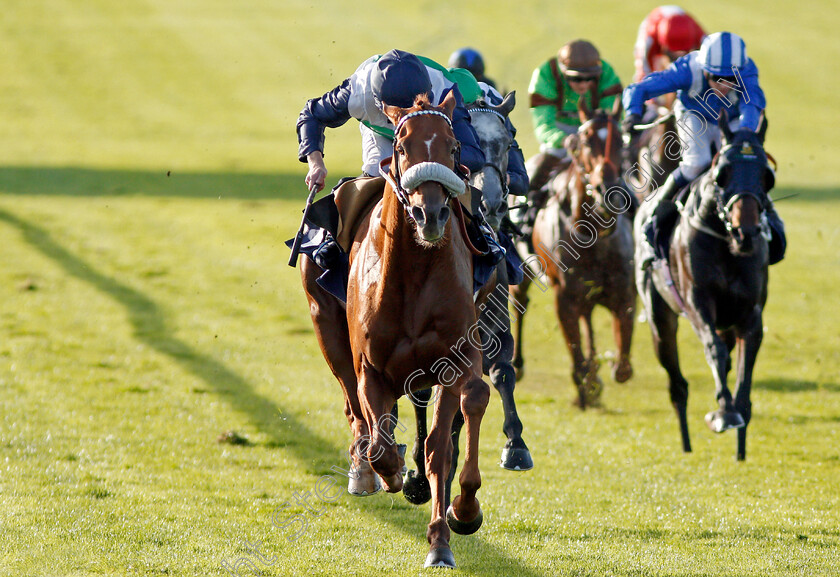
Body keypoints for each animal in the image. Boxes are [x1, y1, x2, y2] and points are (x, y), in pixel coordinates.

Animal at [302, 91, 488, 568]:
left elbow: (442, 446)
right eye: (402, 147)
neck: (414, 272)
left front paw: (446, 532)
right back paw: (365, 471)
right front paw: (387, 474)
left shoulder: (453, 359)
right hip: (326, 326)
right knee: (354, 408)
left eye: (453, 147)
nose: (431, 213)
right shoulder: (371, 367)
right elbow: (380, 445)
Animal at [508, 99, 632, 408]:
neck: (594, 236)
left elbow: (623, 364)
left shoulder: (624, 292)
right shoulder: (564, 298)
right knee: (520, 302)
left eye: (621, 141)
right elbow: (575, 354)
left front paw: (606, 369)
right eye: (585, 141)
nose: (608, 190)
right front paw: (586, 387)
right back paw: (518, 363)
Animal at [636, 113, 776, 460]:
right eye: (722, 174)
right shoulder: (697, 303)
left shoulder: (751, 314)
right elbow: (713, 349)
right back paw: (686, 445)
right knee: (677, 386)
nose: (746, 233)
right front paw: (724, 413)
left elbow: (743, 371)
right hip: (660, 321)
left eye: (767, 176)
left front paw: (740, 441)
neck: (725, 244)